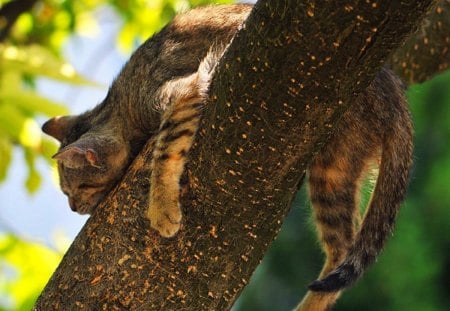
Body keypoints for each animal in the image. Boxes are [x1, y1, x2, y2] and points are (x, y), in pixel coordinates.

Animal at [41, 3, 412, 311]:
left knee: (342, 251)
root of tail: (395, 95)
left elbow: (164, 151)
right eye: (68, 194)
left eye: (76, 189)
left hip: (331, 160)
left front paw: (161, 209)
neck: (120, 104)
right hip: (335, 176)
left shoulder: (180, 93)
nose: (73, 207)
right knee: (343, 248)